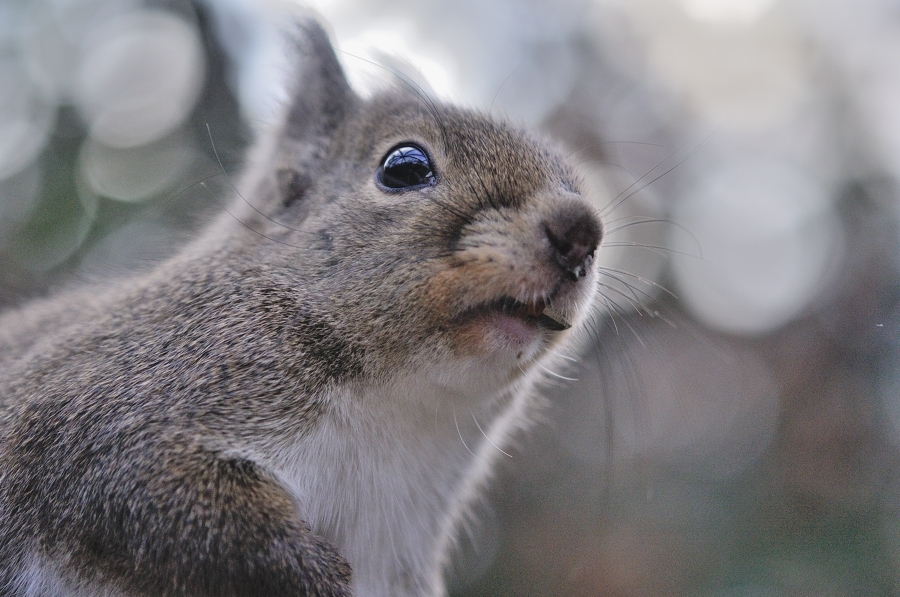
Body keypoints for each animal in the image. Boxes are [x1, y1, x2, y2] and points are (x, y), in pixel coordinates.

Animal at [1, 17, 604, 596]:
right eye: (404, 167)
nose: (581, 231)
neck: (397, 404)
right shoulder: (110, 408)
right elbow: (135, 486)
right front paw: (316, 573)